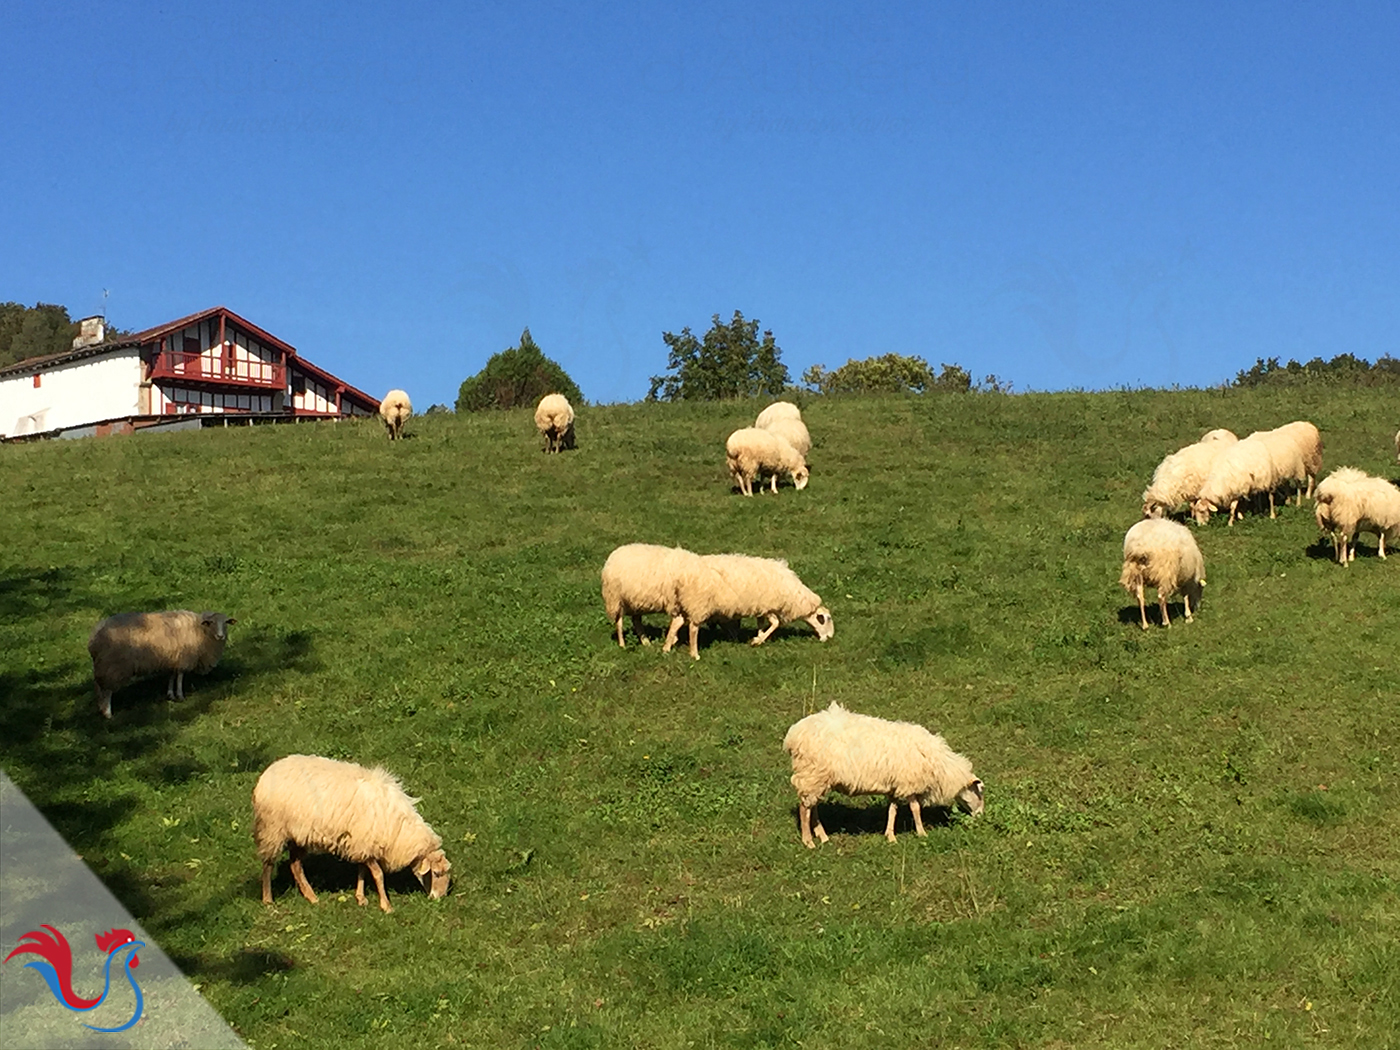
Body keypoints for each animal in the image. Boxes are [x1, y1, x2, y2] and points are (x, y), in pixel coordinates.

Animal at [87, 613, 236, 722]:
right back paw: (108, 713)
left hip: (103, 665)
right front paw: (180, 695)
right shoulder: (183, 657)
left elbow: (172, 676)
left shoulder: (173, 658)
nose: (220, 636)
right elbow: (180, 677)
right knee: (107, 690)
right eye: (212, 623)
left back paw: (101, 709)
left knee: (98, 687)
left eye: (225, 623)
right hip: (113, 666)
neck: (200, 629)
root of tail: (94, 635)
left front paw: (170, 694)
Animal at [250, 756, 448, 912]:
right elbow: (378, 874)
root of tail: (268, 772)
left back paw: (311, 897)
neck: (400, 830)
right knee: (268, 864)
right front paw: (386, 906)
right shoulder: (366, 841)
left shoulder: (362, 843)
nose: (439, 899)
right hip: (272, 829)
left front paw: (361, 897)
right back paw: (268, 899)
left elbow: (362, 870)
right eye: (437, 873)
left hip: (299, 834)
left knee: (295, 865)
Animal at [674, 554, 834, 660]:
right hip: (698, 603)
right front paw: (757, 640)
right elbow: (775, 623)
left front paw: (759, 636)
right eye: (825, 619)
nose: (829, 638)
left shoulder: (761, 607)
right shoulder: (769, 605)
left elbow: (761, 623)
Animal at [778, 702, 985, 851]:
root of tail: (793, 734)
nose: (981, 816)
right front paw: (921, 833)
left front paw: (890, 836)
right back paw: (808, 841)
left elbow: (892, 810)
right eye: (980, 792)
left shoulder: (896, 785)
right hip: (811, 774)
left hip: (817, 778)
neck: (940, 765)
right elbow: (915, 808)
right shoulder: (908, 782)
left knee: (812, 807)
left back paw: (822, 836)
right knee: (804, 809)